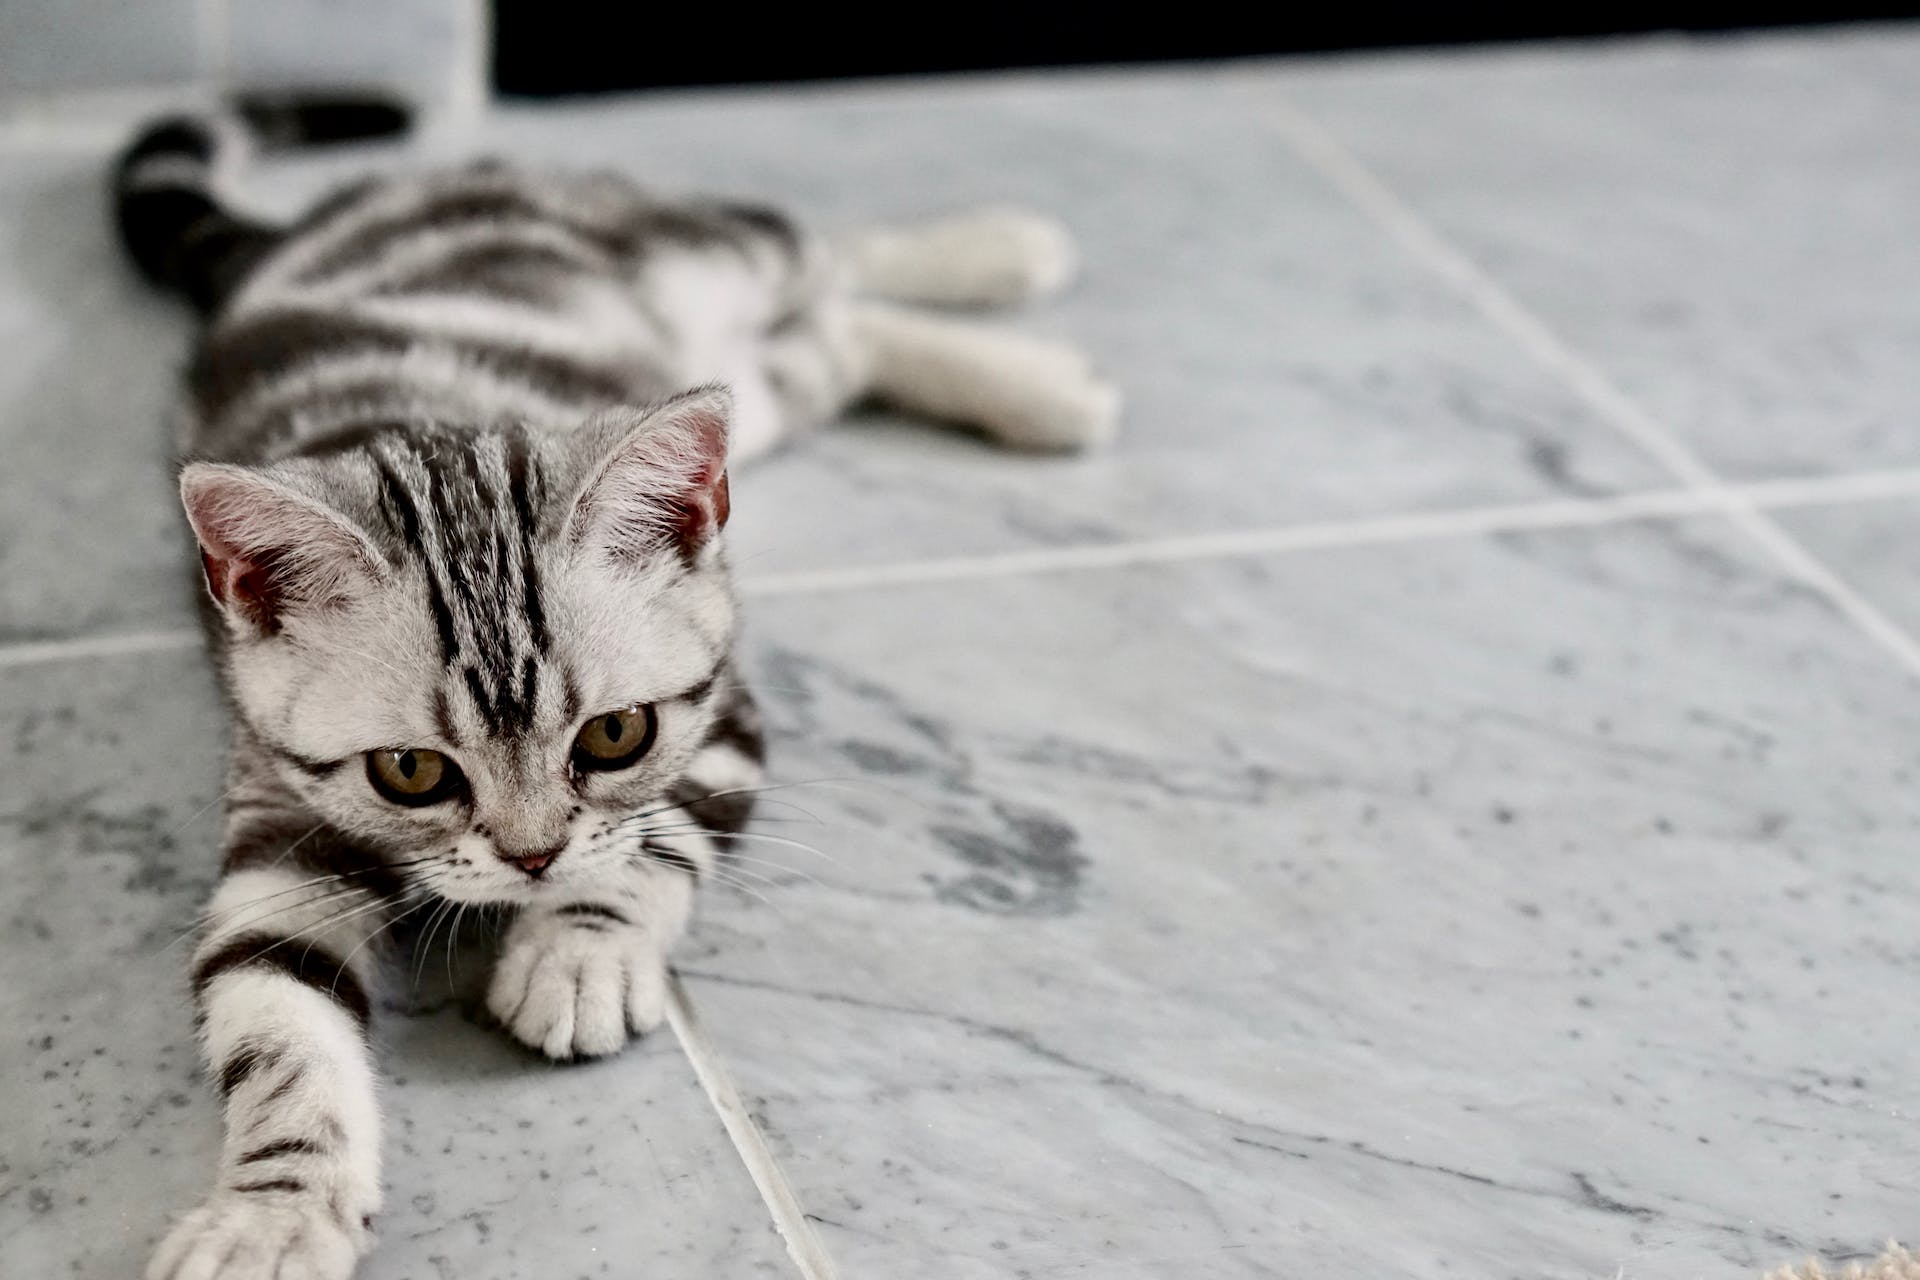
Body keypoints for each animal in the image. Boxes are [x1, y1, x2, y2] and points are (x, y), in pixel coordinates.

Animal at [116, 100, 1113, 1280]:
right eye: (410, 771)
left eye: (614, 736)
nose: (533, 858)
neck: (418, 424)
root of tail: (302, 233)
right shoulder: (276, 808)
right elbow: (275, 1014)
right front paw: (274, 1207)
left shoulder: (723, 713)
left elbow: (659, 836)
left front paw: (578, 952)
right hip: (747, 387)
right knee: (828, 343)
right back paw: (1034, 375)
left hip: (695, 258)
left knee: (819, 255)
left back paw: (1010, 280)